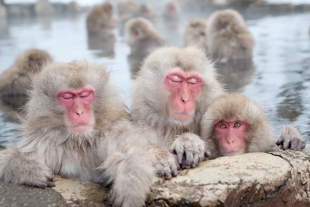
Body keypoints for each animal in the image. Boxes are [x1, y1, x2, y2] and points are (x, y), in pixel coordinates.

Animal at [130, 46, 224, 178]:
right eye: (175, 80)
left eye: (192, 82)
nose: (185, 99)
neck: (175, 127)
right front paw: (159, 156)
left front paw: (188, 141)